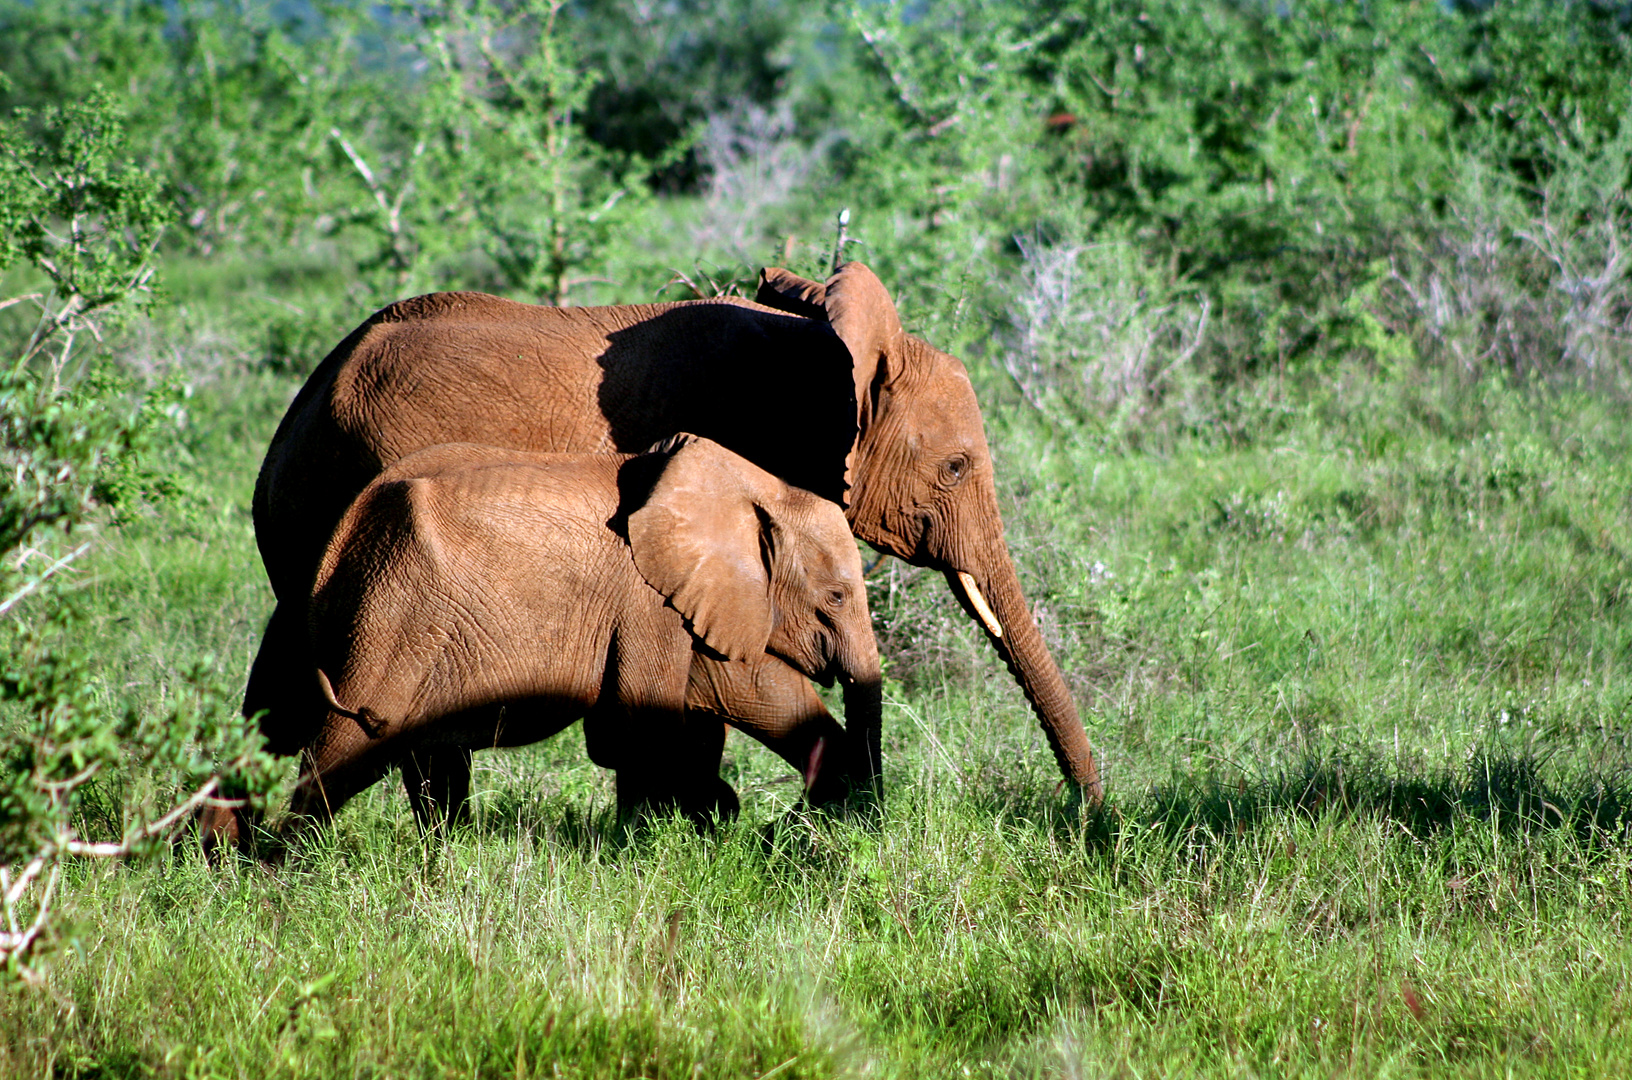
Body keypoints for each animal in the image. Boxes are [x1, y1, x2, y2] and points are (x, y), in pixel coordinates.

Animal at [274, 437, 881, 832]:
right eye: (836, 597)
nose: (793, 819)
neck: (752, 487)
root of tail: (345, 530)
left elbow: (737, 685)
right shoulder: (645, 598)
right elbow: (642, 726)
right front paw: (672, 835)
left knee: (422, 760)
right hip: (394, 620)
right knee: (343, 751)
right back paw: (281, 872)